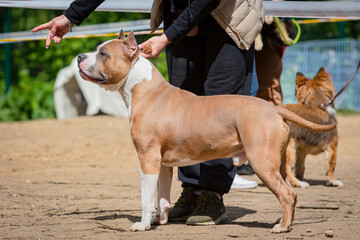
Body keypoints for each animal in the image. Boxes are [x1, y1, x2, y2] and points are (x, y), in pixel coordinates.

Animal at [77, 31, 336, 233]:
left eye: (103, 54)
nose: (79, 56)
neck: (143, 88)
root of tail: (273, 108)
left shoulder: (147, 158)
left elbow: (145, 196)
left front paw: (142, 224)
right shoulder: (162, 163)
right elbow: (161, 196)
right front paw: (159, 220)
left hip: (262, 161)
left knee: (286, 193)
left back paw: (281, 227)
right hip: (278, 162)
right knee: (289, 190)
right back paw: (285, 221)